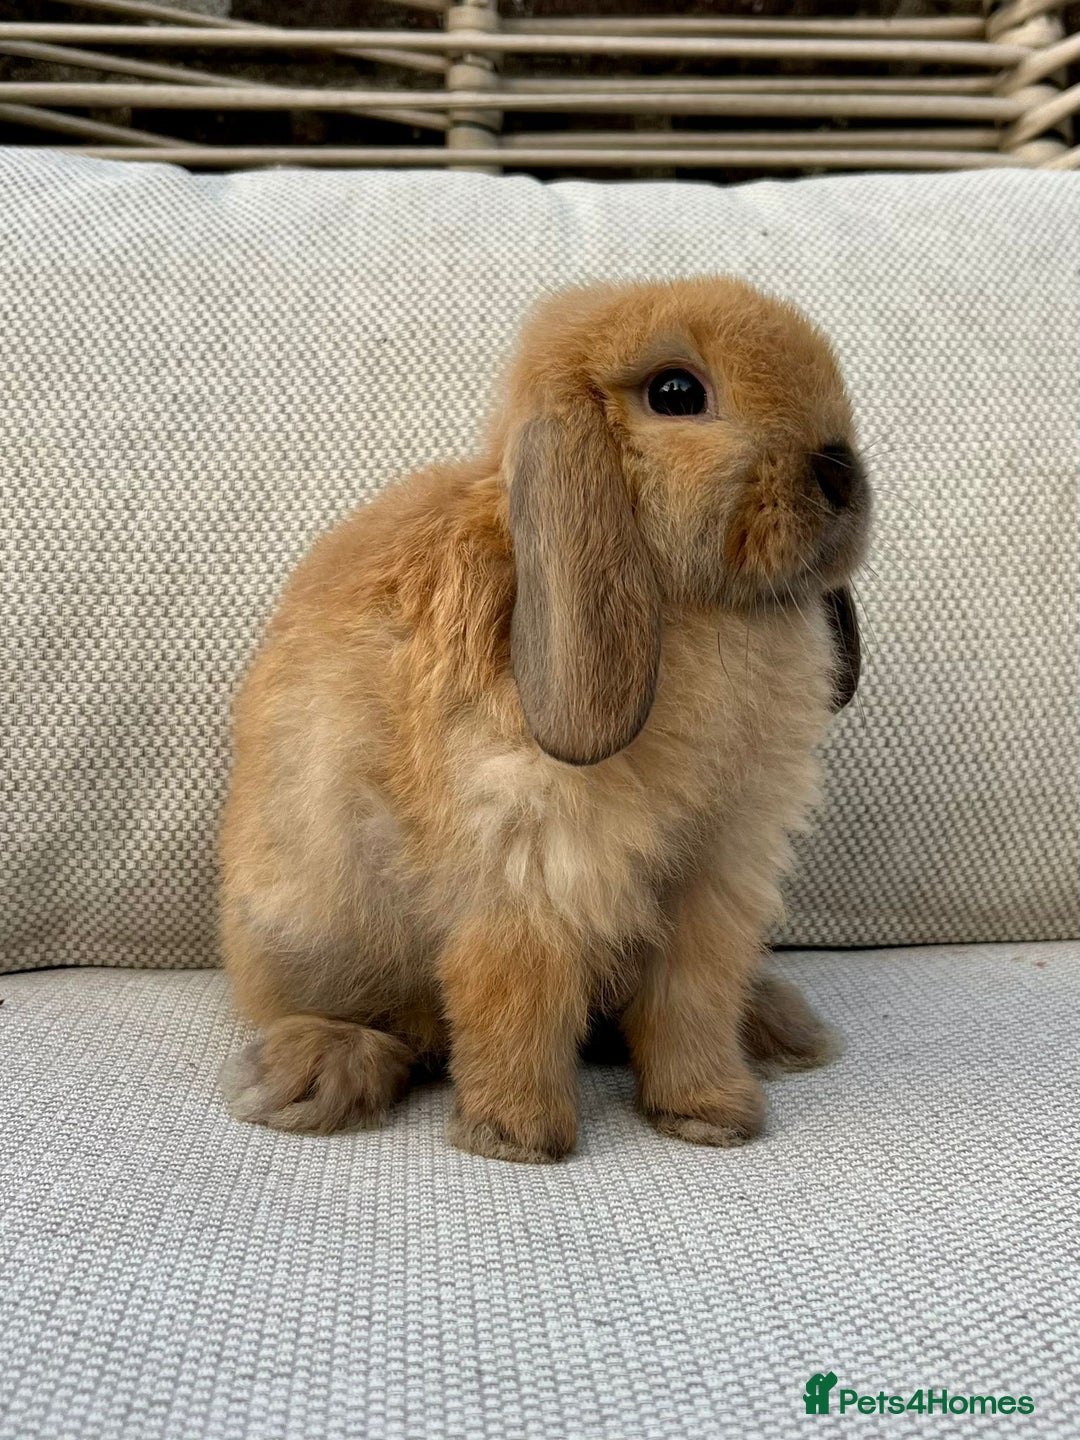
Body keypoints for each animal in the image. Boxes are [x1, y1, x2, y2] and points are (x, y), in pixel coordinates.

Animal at [218, 275, 869, 1163]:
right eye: (676, 393)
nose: (840, 472)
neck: (698, 607)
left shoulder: (720, 870)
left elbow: (692, 1000)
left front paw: (712, 1114)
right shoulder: (528, 861)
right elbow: (518, 994)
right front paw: (517, 1137)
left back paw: (778, 1026)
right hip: (310, 933)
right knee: (371, 1020)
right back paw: (316, 1072)